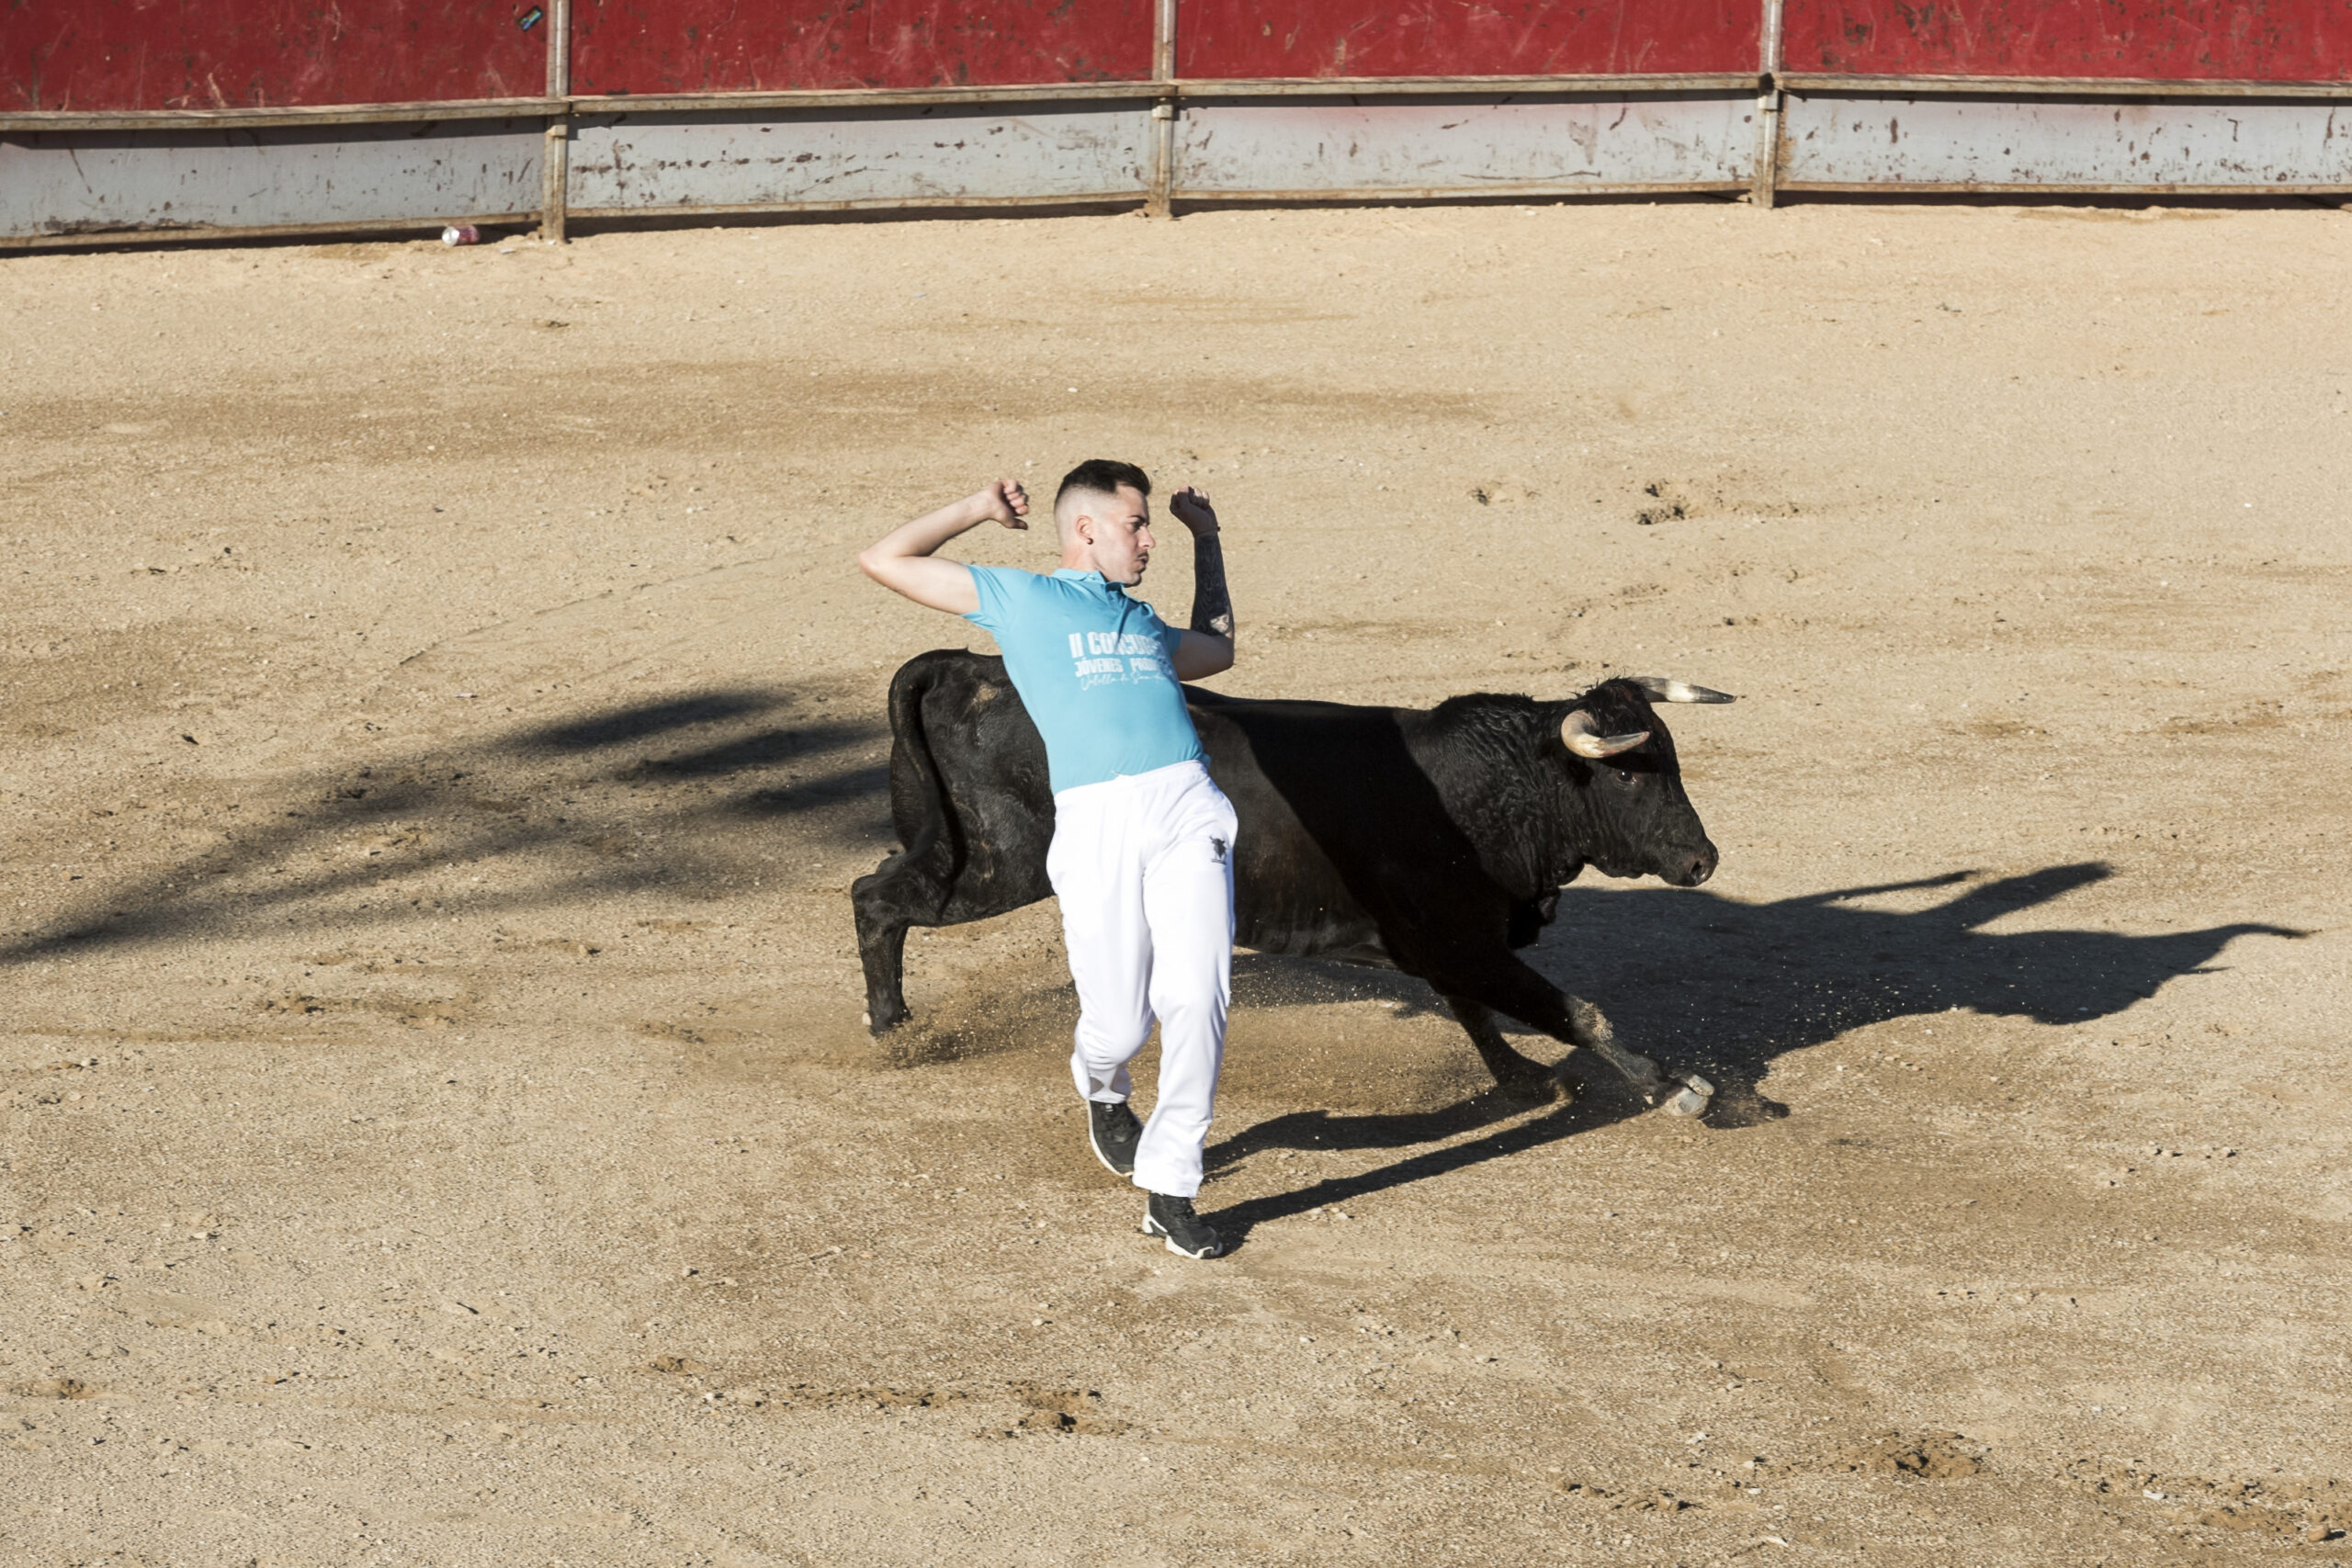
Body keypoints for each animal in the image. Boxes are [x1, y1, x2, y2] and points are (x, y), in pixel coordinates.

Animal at [846, 658, 1731, 1109]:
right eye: (1631, 774)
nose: (1703, 861)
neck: (1494, 786)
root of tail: (968, 670)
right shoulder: (1458, 940)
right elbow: (1573, 1009)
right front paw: (1674, 1084)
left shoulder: (1450, 945)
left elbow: (1481, 1016)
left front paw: (1526, 1077)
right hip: (1000, 864)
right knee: (876, 898)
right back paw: (894, 1031)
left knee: (877, 888)